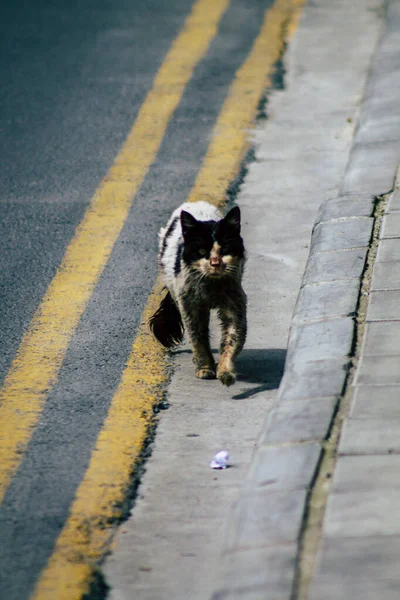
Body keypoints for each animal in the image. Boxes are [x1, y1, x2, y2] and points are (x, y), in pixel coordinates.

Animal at [148, 199, 245, 386]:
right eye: (201, 251)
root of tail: (194, 203)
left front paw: (225, 372)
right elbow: (198, 339)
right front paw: (205, 368)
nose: (215, 263)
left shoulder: (234, 305)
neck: (211, 286)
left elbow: (232, 339)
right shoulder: (190, 307)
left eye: (225, 249)